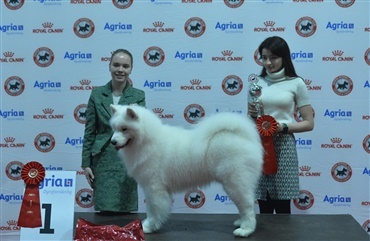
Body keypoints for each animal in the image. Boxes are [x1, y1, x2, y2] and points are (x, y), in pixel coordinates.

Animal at [110, 104, 264, 237]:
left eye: (124, 129)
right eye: (114, 128)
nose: (113, 142)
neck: (147, 141)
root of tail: (242, 136)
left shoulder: (154, 188)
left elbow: (153, 209)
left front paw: (148, 226)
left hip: (235, 181)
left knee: (247, 206)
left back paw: (245, 230)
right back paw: (241, 223)